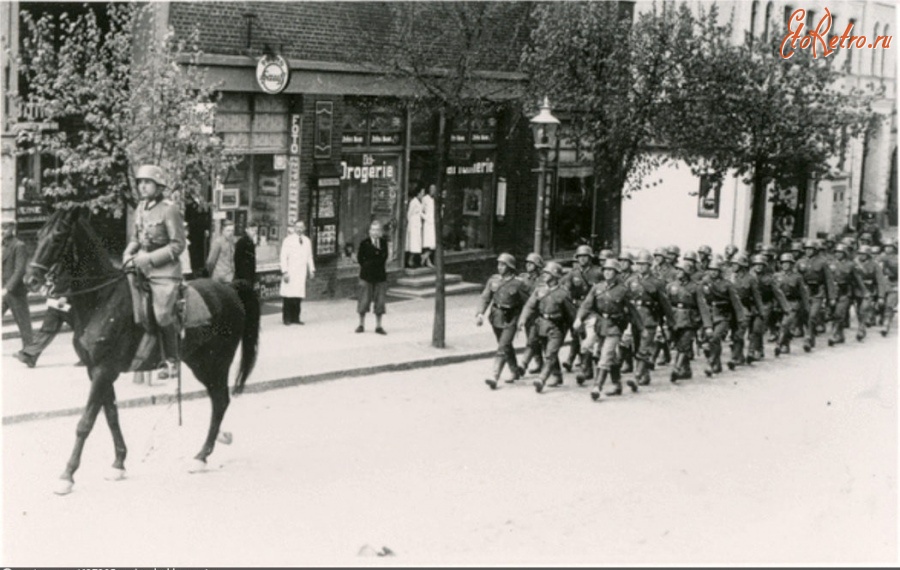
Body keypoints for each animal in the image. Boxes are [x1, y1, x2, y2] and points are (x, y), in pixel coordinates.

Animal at [26, 207, 258, 492]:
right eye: (39, 234)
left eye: (58, 237)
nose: (30, 279)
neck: (101, 299)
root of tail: (229, 289)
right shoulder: (96, 371)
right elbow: (111, 415)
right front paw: (118, 463)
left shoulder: (104, 370)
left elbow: (86, 422)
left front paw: (67, 475)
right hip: (199, 362)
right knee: (219, 401)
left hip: (215, 362)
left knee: (220, 401)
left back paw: (202, 456)